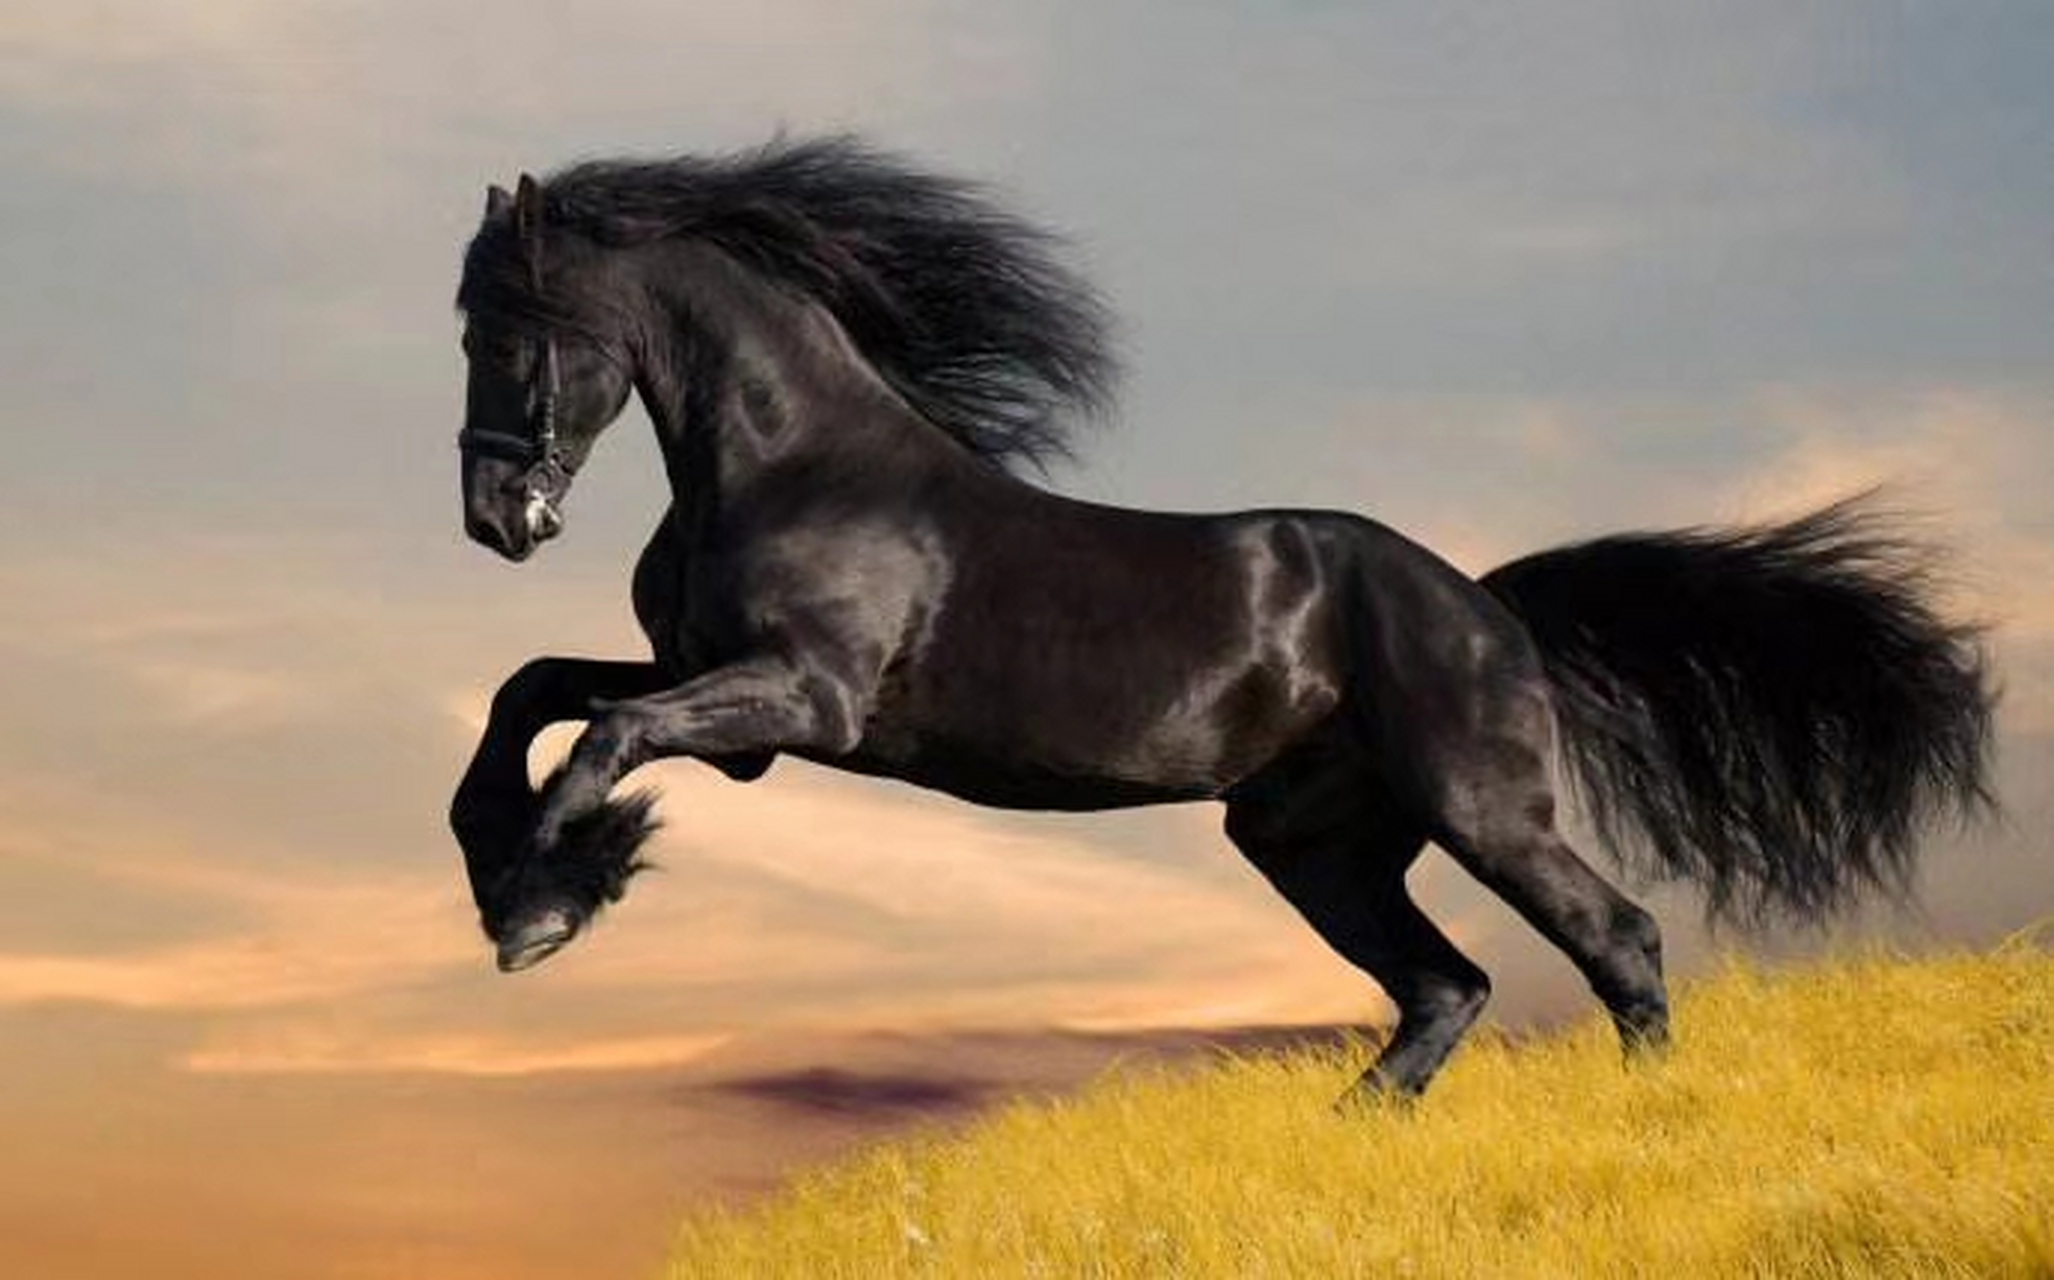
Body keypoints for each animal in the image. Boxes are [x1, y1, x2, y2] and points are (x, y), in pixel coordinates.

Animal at [448, 137, 1994, 1101]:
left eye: (510, 327)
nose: (494, 518)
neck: (794, 462)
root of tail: (1483, 604)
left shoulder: (798, 702)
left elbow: (602, 736)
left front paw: (546, 902)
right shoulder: (722, 694)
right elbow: (534, 691)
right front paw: (517, 874)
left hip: (1477, 808)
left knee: (1612, 939)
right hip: (1310, 841)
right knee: (1444, 986)